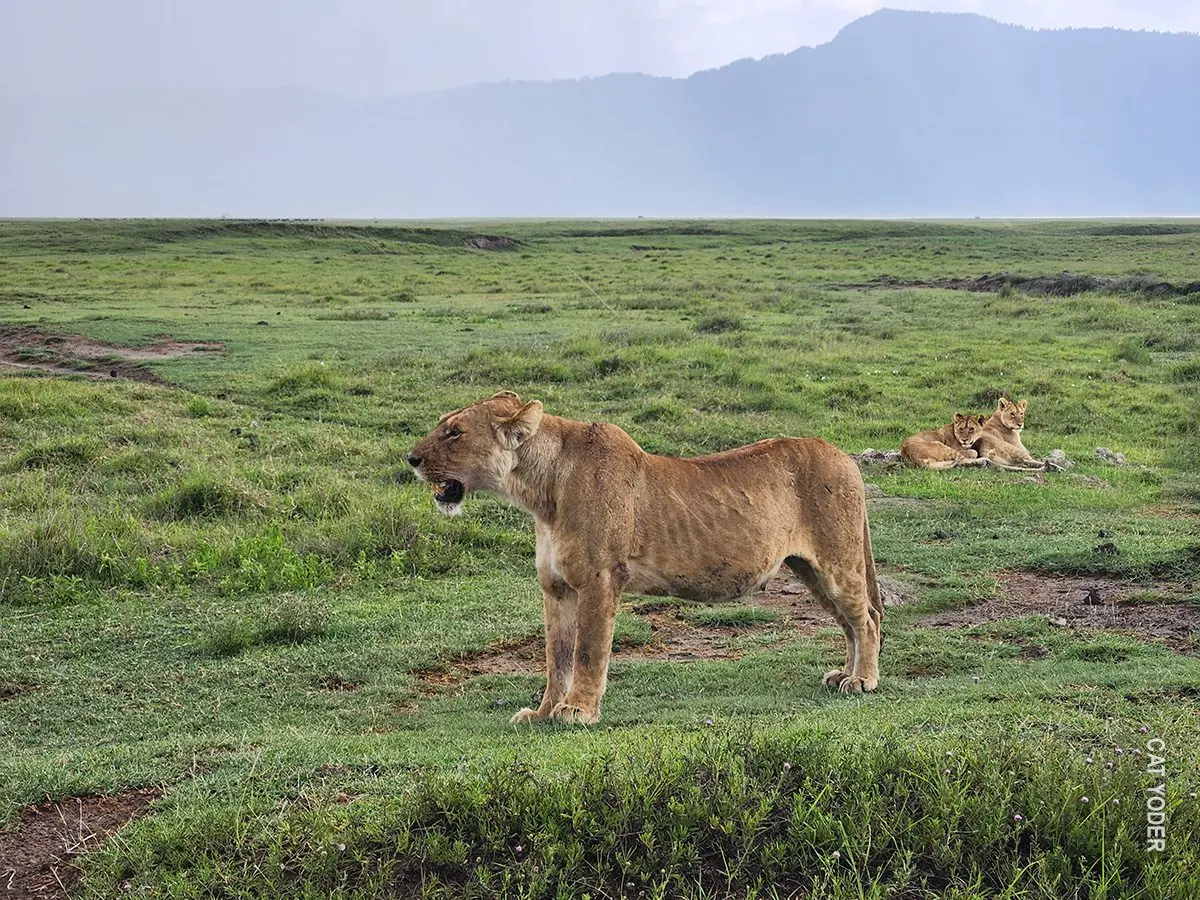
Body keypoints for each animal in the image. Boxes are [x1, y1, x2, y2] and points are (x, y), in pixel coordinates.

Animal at [408, 391, 883, 725]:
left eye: (455, 432)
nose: (410, 458)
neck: (540, 494)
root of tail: (842, 455)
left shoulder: (600, 577)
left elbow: (587, 651)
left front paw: (579, 711)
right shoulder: (556, 588)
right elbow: (555, 657)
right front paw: (543, 713)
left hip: (837, 562)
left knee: (868, 618)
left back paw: (863, 680)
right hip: (810, 569)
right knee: (850, 622)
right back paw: (843, 675)